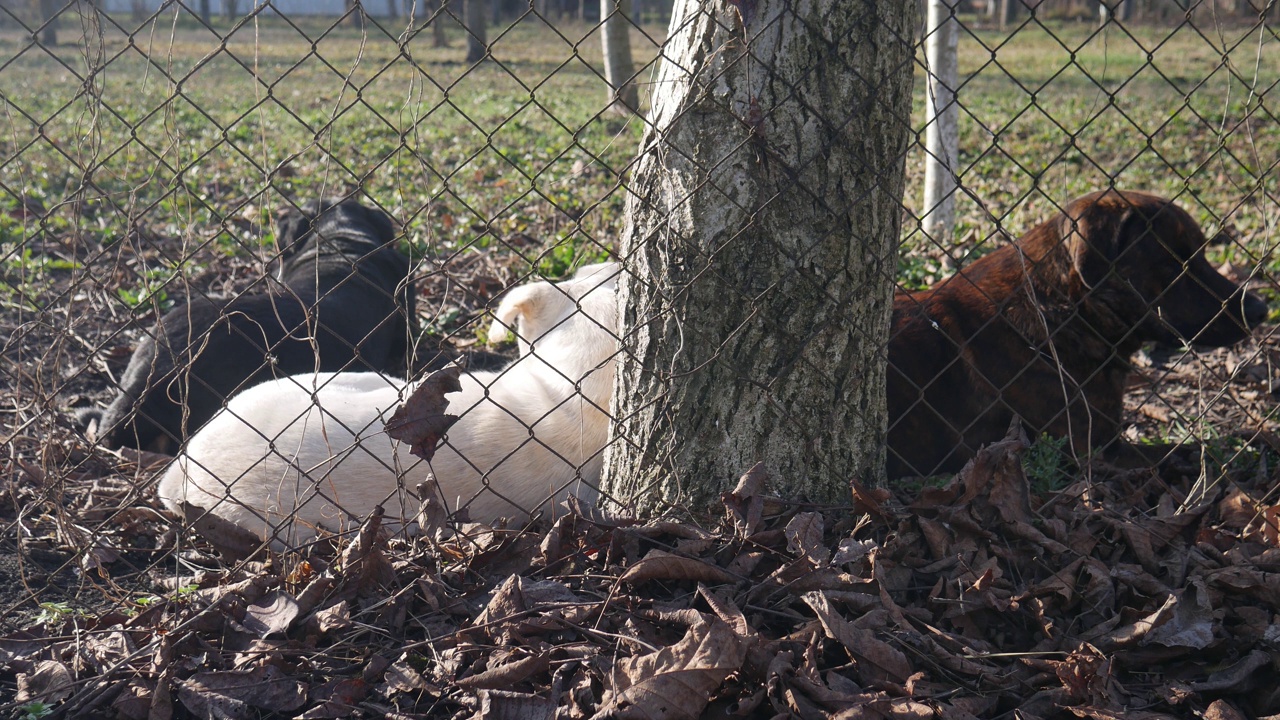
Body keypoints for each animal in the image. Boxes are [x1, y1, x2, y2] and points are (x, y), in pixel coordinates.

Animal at [890, 189, 1269, 476]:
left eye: (1203, 255)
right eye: (1174, 264)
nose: (1260, 310)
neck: (1063, 306)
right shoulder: (1099, 452)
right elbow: (1190, 451)